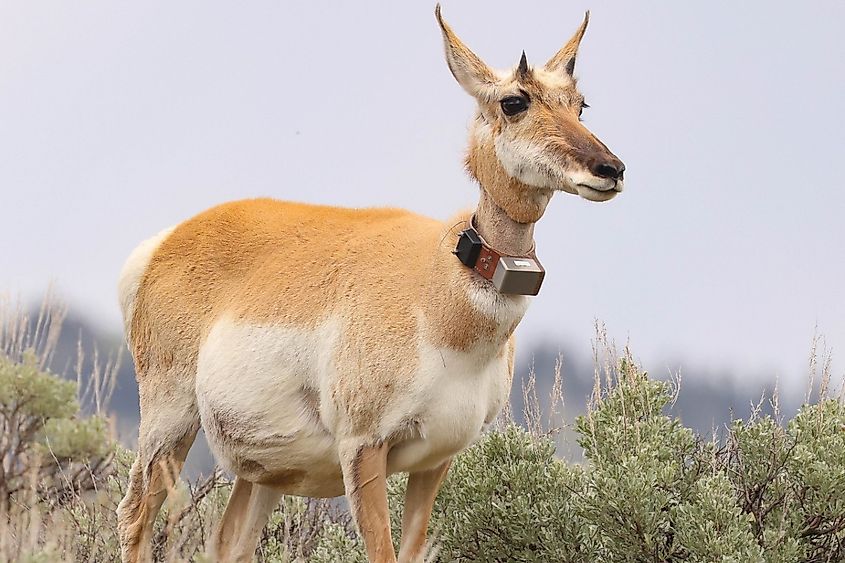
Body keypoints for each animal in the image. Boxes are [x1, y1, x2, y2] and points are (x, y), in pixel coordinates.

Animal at [116, 5, 624, 562]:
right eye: (514, 101)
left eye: (580, 104)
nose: (611, 168)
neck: (437, 289)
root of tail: (167, 241)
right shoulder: (363, 447)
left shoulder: (436, 460)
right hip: (170, 421)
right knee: (135, 515)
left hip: (265, 473)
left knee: (228, 542)